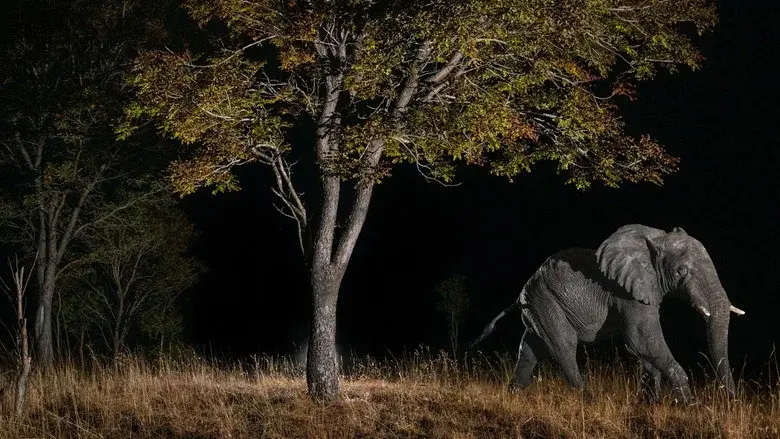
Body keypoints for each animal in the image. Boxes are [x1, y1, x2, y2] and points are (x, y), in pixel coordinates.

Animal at [468, 224, 745, 402]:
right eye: (681, 272)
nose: (730, 401)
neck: (657, 239)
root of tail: (520, 296)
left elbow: (644, 348)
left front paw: (650, 403)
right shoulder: (626, 292)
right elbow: (641, 339)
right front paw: (689, 405)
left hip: (537, 307)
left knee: (529, 349)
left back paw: (513, 395)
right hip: (546, 301)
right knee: (563, 346)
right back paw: (587, 399)